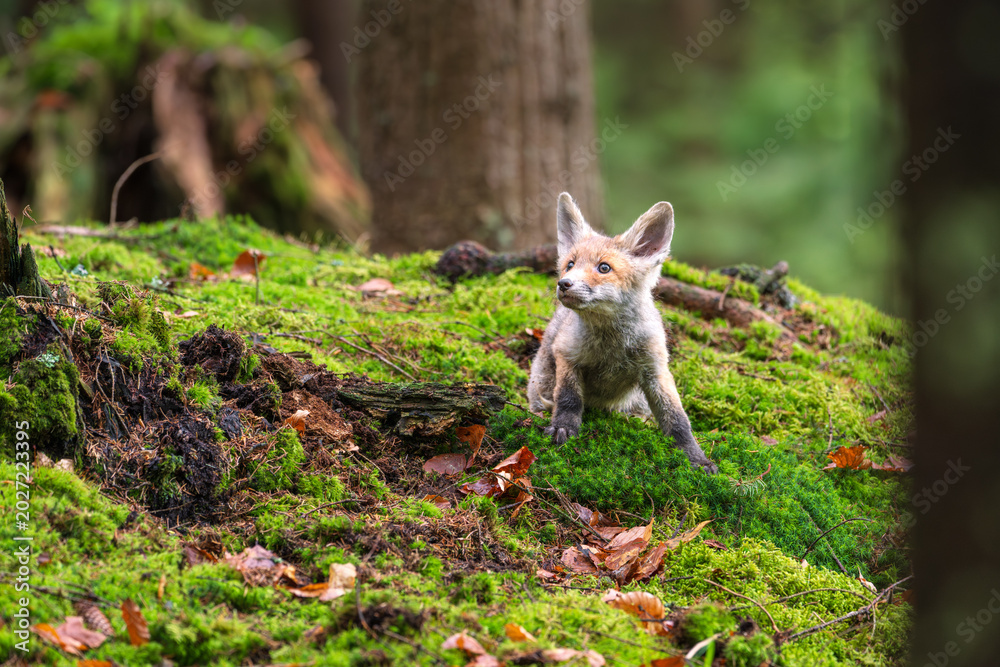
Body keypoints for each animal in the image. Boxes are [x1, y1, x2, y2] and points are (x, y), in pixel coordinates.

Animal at [527, 193, 717, 473]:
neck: (612, 346)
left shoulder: (655, 370)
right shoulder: (567, 355)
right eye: (570, 264)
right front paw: (564, 427)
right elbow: (568, 399)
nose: (564, 284)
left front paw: (696, 459)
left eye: (604, 268)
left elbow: (678, 421)